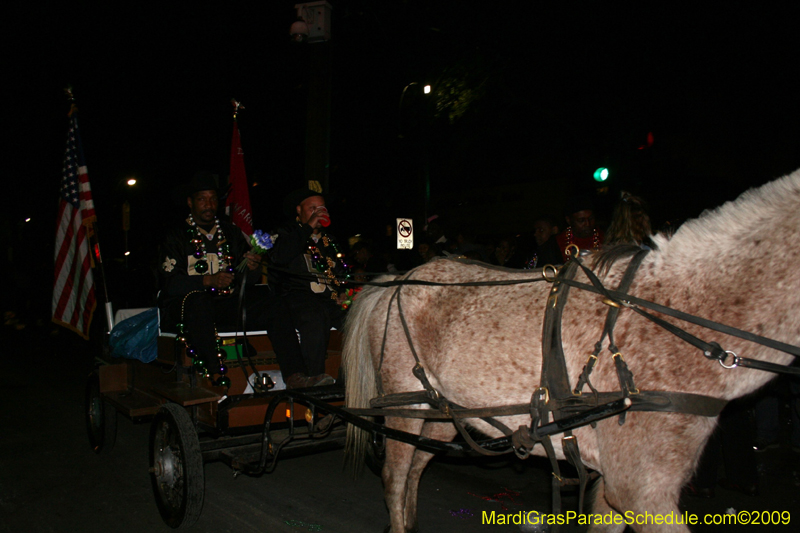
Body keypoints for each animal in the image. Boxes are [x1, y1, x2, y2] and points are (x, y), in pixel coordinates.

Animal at [342, 171, 800, 532]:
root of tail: (397, 279)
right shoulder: (641, 489)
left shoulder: (619, 485)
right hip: (404, 404)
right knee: (395, 476)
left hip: (447, 413)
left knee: (417, 467)